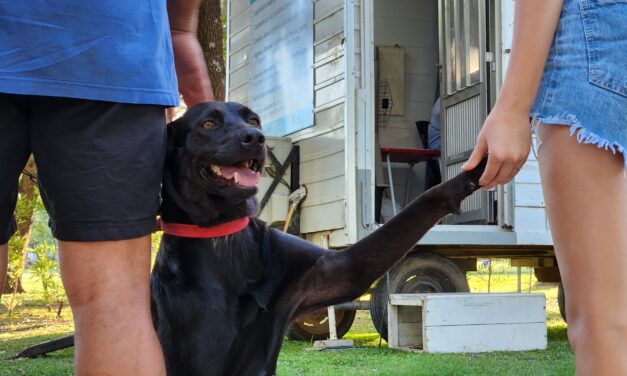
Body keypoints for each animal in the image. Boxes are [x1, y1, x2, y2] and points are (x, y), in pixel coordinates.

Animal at [150, 101, 488, 374]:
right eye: (209, 123)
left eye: (254, 119)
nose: (255, 137)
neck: (225, 236)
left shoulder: (339, 269)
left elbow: (425, 200)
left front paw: (479, 164)